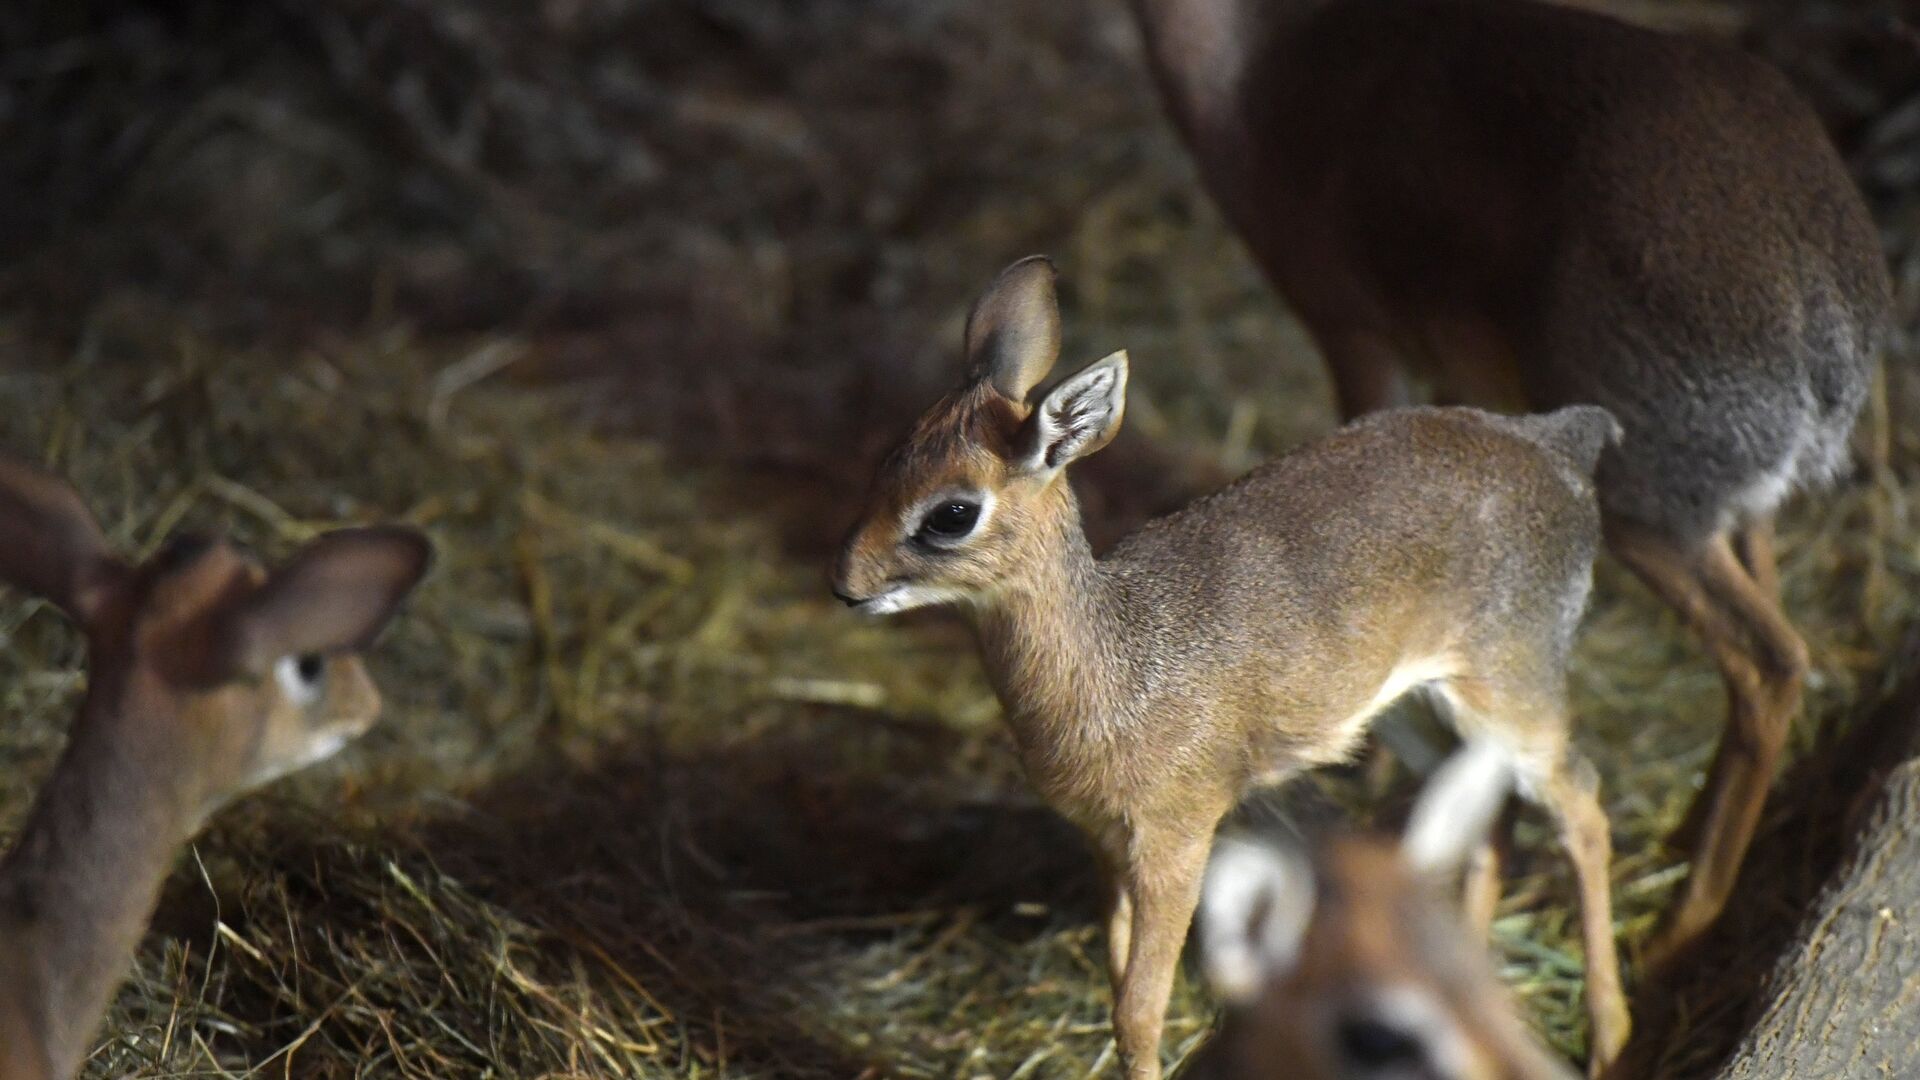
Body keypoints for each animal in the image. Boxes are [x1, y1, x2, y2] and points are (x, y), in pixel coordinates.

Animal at [1128, 0, 1896, 960]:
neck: (1251, 68)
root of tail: (1828, 323)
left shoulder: (1351, 322)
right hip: (1733, 492)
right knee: (1771, 626)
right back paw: (1683, 844)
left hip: (1648, 498)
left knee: (1775, 660)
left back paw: (1677, 928)